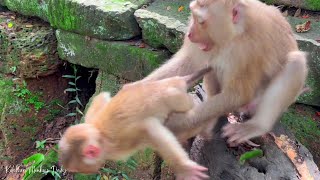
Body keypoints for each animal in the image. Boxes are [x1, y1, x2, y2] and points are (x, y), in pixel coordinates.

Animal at [58, 67, 211, 180]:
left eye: (74, 168)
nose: (75, 172)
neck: (100, 135)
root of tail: (175, 81)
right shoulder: (91, 121)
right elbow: (102, 96)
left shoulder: (120, 141)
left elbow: (150, 129)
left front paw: (184, 168)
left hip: (179, 99)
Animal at [141, 0, 306, 143]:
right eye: (193, 16)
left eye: (201, 21)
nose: (189, 33)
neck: (235, 34)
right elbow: (190, 62)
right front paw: (141, 92)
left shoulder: (249, 49)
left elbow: (238, 95)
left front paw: (177, 122)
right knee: (213, 64)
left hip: (256, 104)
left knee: (296, 63)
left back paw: (256, 126)